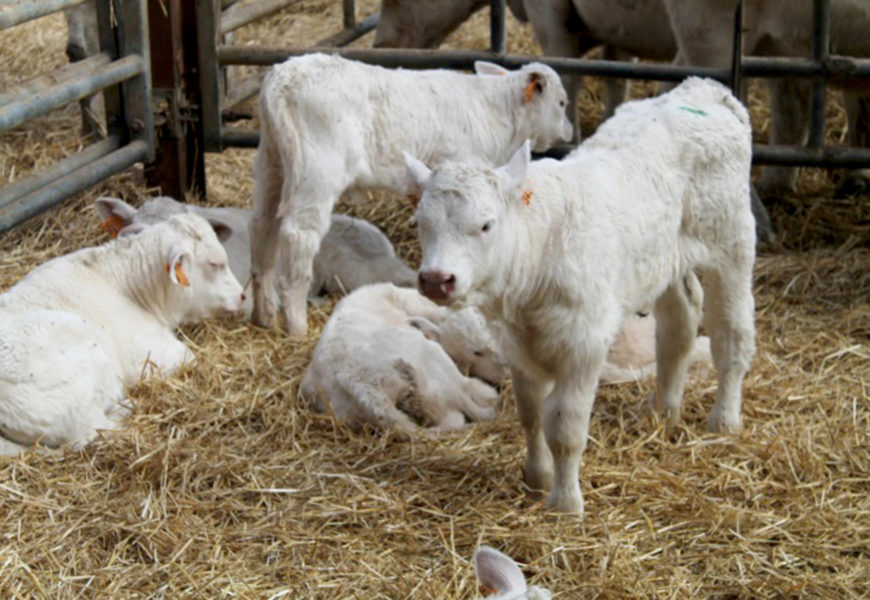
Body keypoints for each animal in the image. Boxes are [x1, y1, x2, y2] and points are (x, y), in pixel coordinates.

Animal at [249, 52, 576, 338]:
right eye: (561, 102)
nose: (570, 132)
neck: (498, 113)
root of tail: (283, 76)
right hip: (316, 174)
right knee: (297, 240)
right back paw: (296, 327)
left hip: (272, 165)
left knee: (264, 230)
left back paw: (264, 315)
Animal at [300, 284, 508, 434]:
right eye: (476, 352)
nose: (507, 373)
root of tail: (357, 381)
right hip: (433, 363)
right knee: (465, 398)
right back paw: (488, 400)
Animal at [408, 76, 756, 516]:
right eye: (420, 222)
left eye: (486, 225)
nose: (437, 280)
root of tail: (705, 90)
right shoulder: (517, 343)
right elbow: (530, 413)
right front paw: (536, 478)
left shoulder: (583, 342)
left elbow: (565, 425)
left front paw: (565, 503)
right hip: (663, 258)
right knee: (679, 322)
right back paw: (664, 411)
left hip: (731, 242)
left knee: (731, 336)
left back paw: (724, 420)